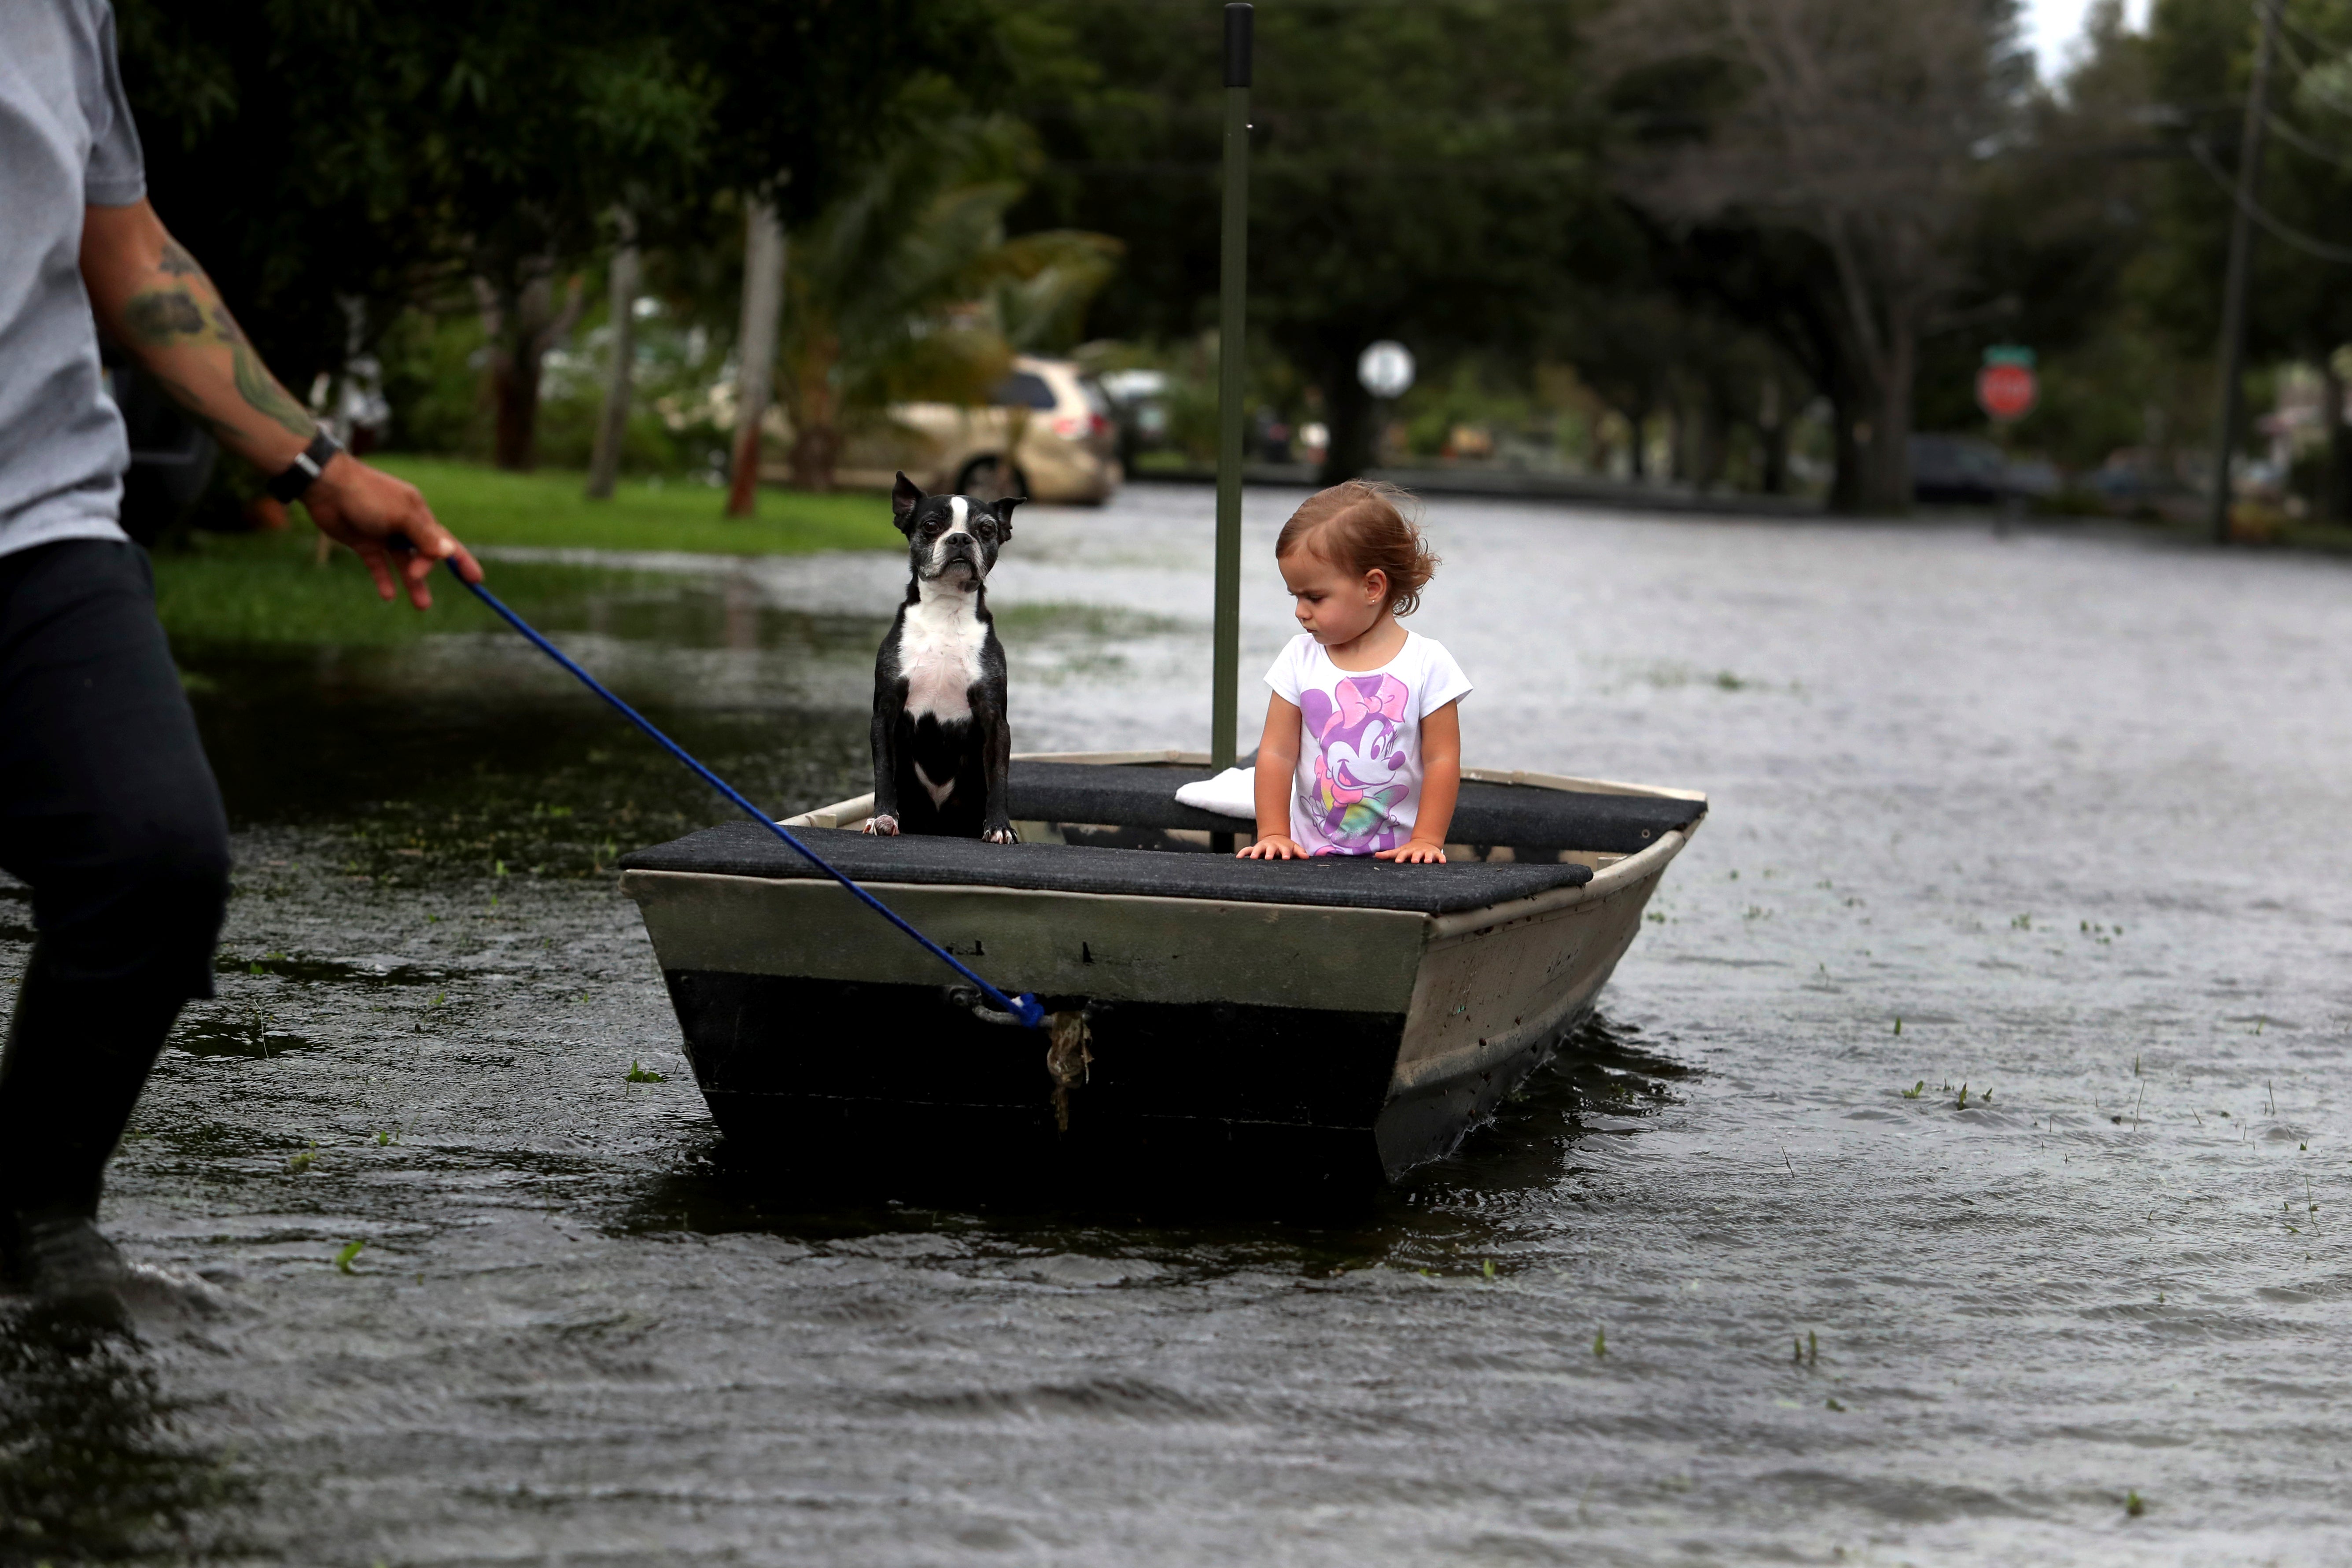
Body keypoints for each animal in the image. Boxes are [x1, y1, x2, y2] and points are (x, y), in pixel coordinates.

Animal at [861, 475, 1016, 846]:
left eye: (986, 529)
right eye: (931, 526)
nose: (960, 538)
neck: (946, 611)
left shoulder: (995, 719)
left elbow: (999, 778)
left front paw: (999, 826)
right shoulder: (885, 713)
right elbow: (884, 771)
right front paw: (883, 817)